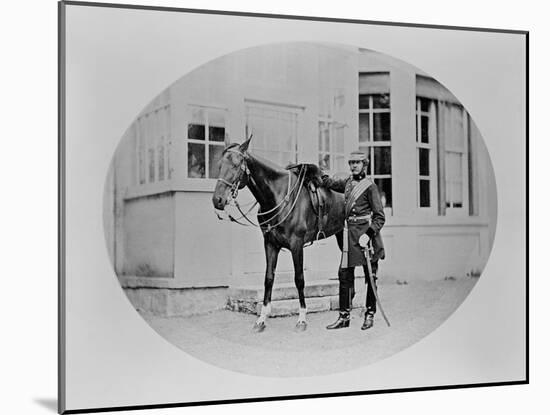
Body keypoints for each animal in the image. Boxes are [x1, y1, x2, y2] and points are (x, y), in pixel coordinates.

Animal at [211, 138, 344, 334]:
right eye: (220, 165)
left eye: (236, 165)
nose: (217, 200)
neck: (279, 196)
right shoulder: (270, 244)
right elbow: (269, 278)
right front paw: (261, 319)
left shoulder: (297, 245)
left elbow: (299, 279)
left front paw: (302, 319)